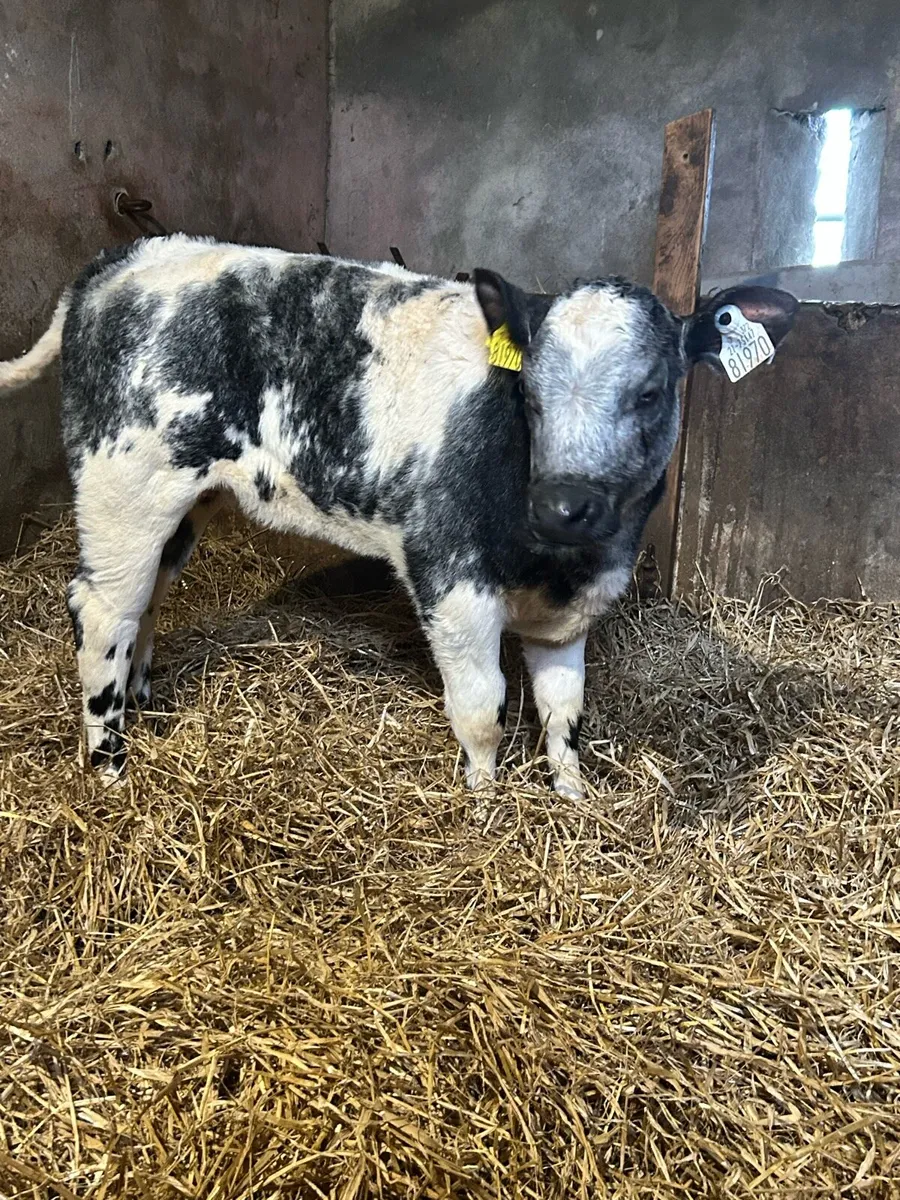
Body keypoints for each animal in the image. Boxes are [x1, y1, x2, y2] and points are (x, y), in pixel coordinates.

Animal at [0, 235, 798, 794]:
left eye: (651, 391)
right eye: (528, 394)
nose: (562, 505)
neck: (559, 561)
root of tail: (124, 258)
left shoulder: (578, 605)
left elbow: (563, 707)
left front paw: (570, 795)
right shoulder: (448, 574)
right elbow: (482, 707)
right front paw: (483, 803)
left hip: (181, 504)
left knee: (146, 604)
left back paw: (142, 700)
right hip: (124, 485)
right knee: (103, 608)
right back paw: (109, 760)